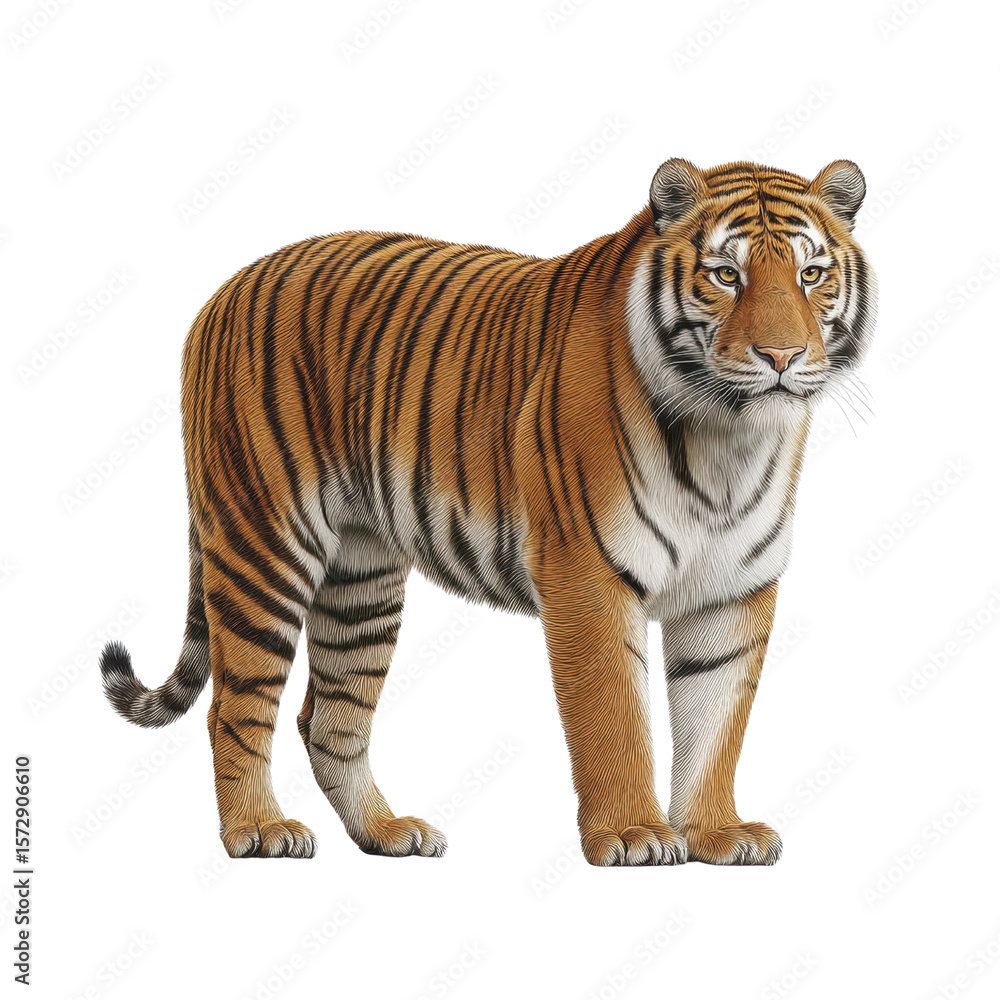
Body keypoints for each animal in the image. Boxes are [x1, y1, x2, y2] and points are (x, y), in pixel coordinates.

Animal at [100, 157, 876, 866]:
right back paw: (259, 830)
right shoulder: (588, 577)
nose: (782, 355)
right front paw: (632, 834)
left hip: (360, 577)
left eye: (811, 275)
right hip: (264, 545)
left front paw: (717, 834)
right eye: (725, 275)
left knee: (329, 719)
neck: (728, 437)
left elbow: (717, 723)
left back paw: (386, 832)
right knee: (235, 708)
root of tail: (224, 290)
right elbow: (614, 716)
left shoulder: (733, 591)